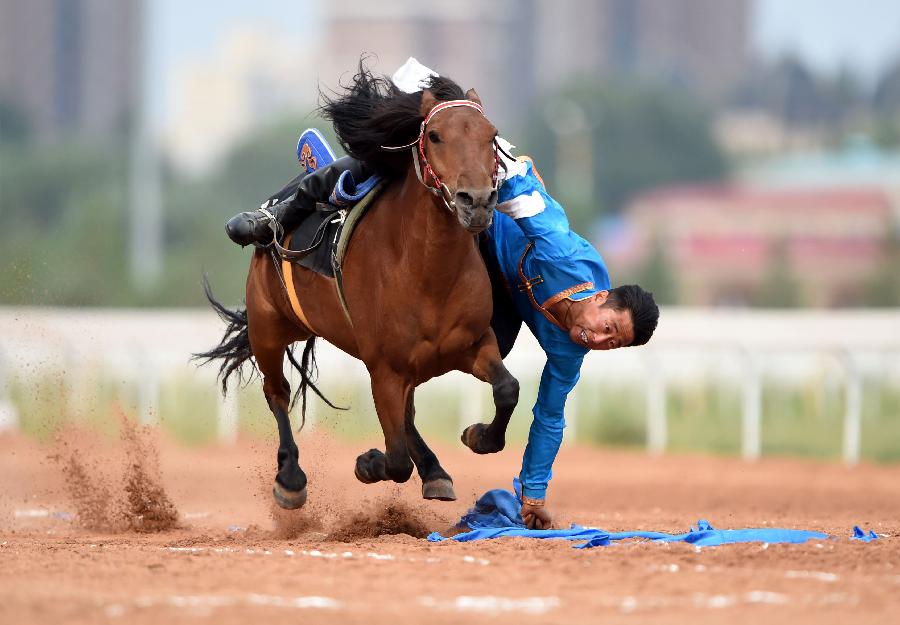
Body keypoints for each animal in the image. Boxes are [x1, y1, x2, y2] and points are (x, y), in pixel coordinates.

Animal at [197, 66, 520, 510]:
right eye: (435, 135)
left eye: (491, 135)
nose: (478, 201)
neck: (426, 272)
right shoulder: (383, 367)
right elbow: (396, 460)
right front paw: (368, 463)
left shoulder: (473, 344)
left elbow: (507, 389)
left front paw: (478, 436)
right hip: (268, 327)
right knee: (276, 392)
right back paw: (290, 478)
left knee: (407, 417)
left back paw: (434, 471)